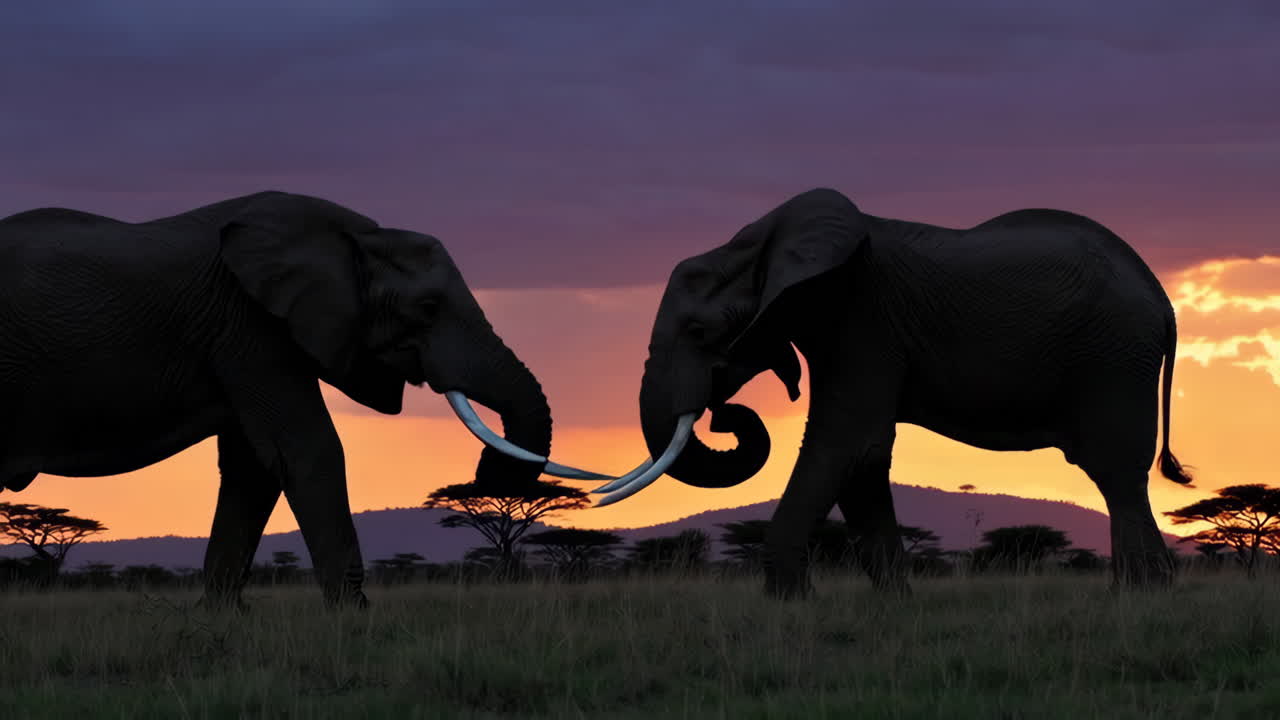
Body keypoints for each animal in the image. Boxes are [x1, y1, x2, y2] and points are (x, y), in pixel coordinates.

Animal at [0, 191, 601, 607]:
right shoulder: (251, 326)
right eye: (429, 307)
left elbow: (254, 468)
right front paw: (354, 618)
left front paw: (221, 620)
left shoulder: (246, 335)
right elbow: (307, 449)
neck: (357, 236)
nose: (485, 479)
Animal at [590, 188, 1191, 598]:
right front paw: (895, 602)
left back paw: (1136, 595)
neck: (760, 240)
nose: (723, 414)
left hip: (1115, 355)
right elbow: (864, 462)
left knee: (1114, 469)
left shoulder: (864, 317)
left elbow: (849, 444)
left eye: (698, 332)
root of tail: (1163, 300)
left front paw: (790, 602)